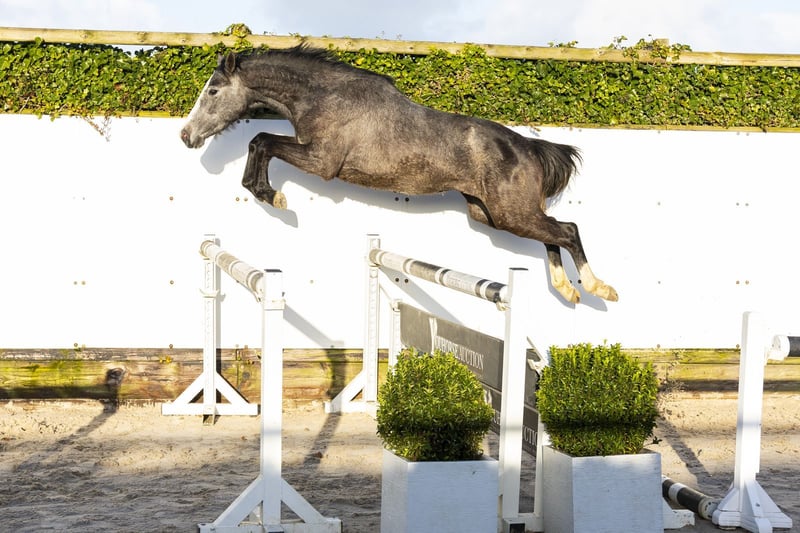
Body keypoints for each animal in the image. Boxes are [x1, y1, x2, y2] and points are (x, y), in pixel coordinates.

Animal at [180, 46, 617, 304]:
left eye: (213, 92)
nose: (187, 136)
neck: (321, 96)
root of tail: (529, 148)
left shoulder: (322, 162)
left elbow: (262, 140)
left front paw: (273, 196)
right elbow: (260, 143)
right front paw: (264, 192)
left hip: (511, 214)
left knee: (568, 230)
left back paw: (598, 287)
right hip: (491, 215)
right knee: (553, 233)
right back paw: (567, 289)